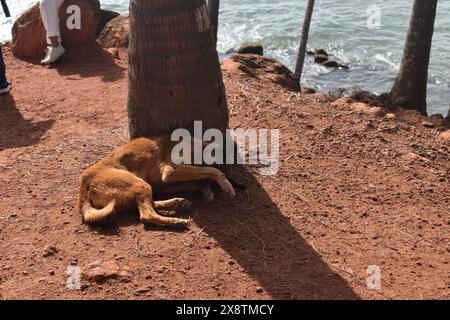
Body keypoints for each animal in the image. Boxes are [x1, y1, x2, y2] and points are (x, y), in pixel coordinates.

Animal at [78, 136, 237, 229]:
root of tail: (84, 186)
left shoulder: (164, 183)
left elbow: (201, 179)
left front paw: (207, 191)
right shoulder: (171, 171)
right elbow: (212, 171)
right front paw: (226, 186)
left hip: (143, 187)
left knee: (147, 205)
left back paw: (178, 203)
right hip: (139, 184)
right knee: (147, 215)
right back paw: (177, 222)